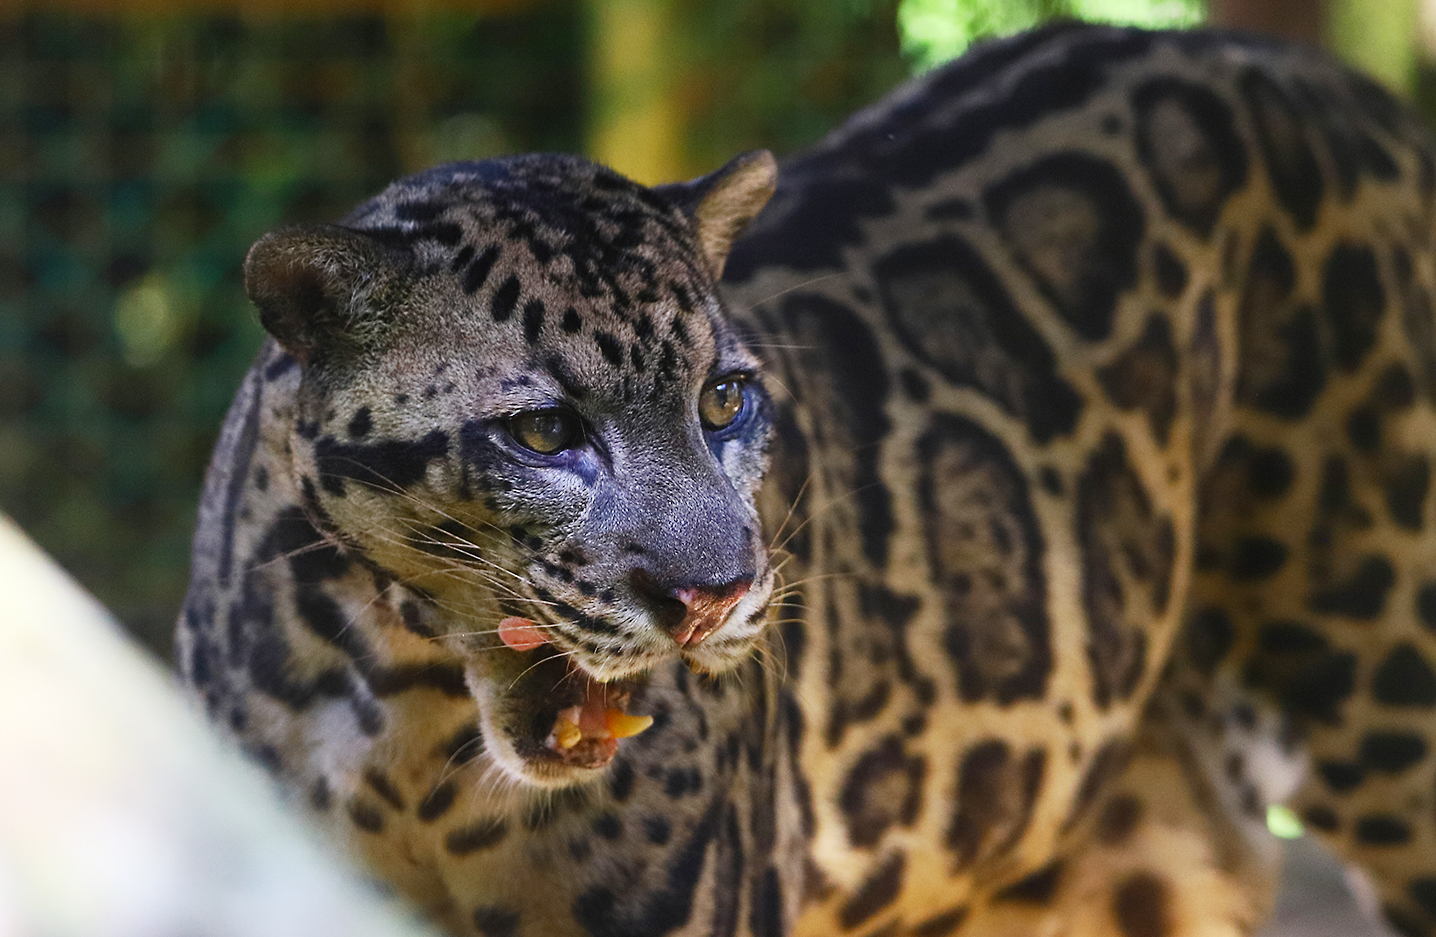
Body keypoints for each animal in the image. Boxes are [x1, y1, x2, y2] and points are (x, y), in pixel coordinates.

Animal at [177, 20, 1436, 937]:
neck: (412, 718)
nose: (716, 597)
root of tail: (1315, 73)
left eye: (722, 402)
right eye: (541, 433)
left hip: (1383, 692)